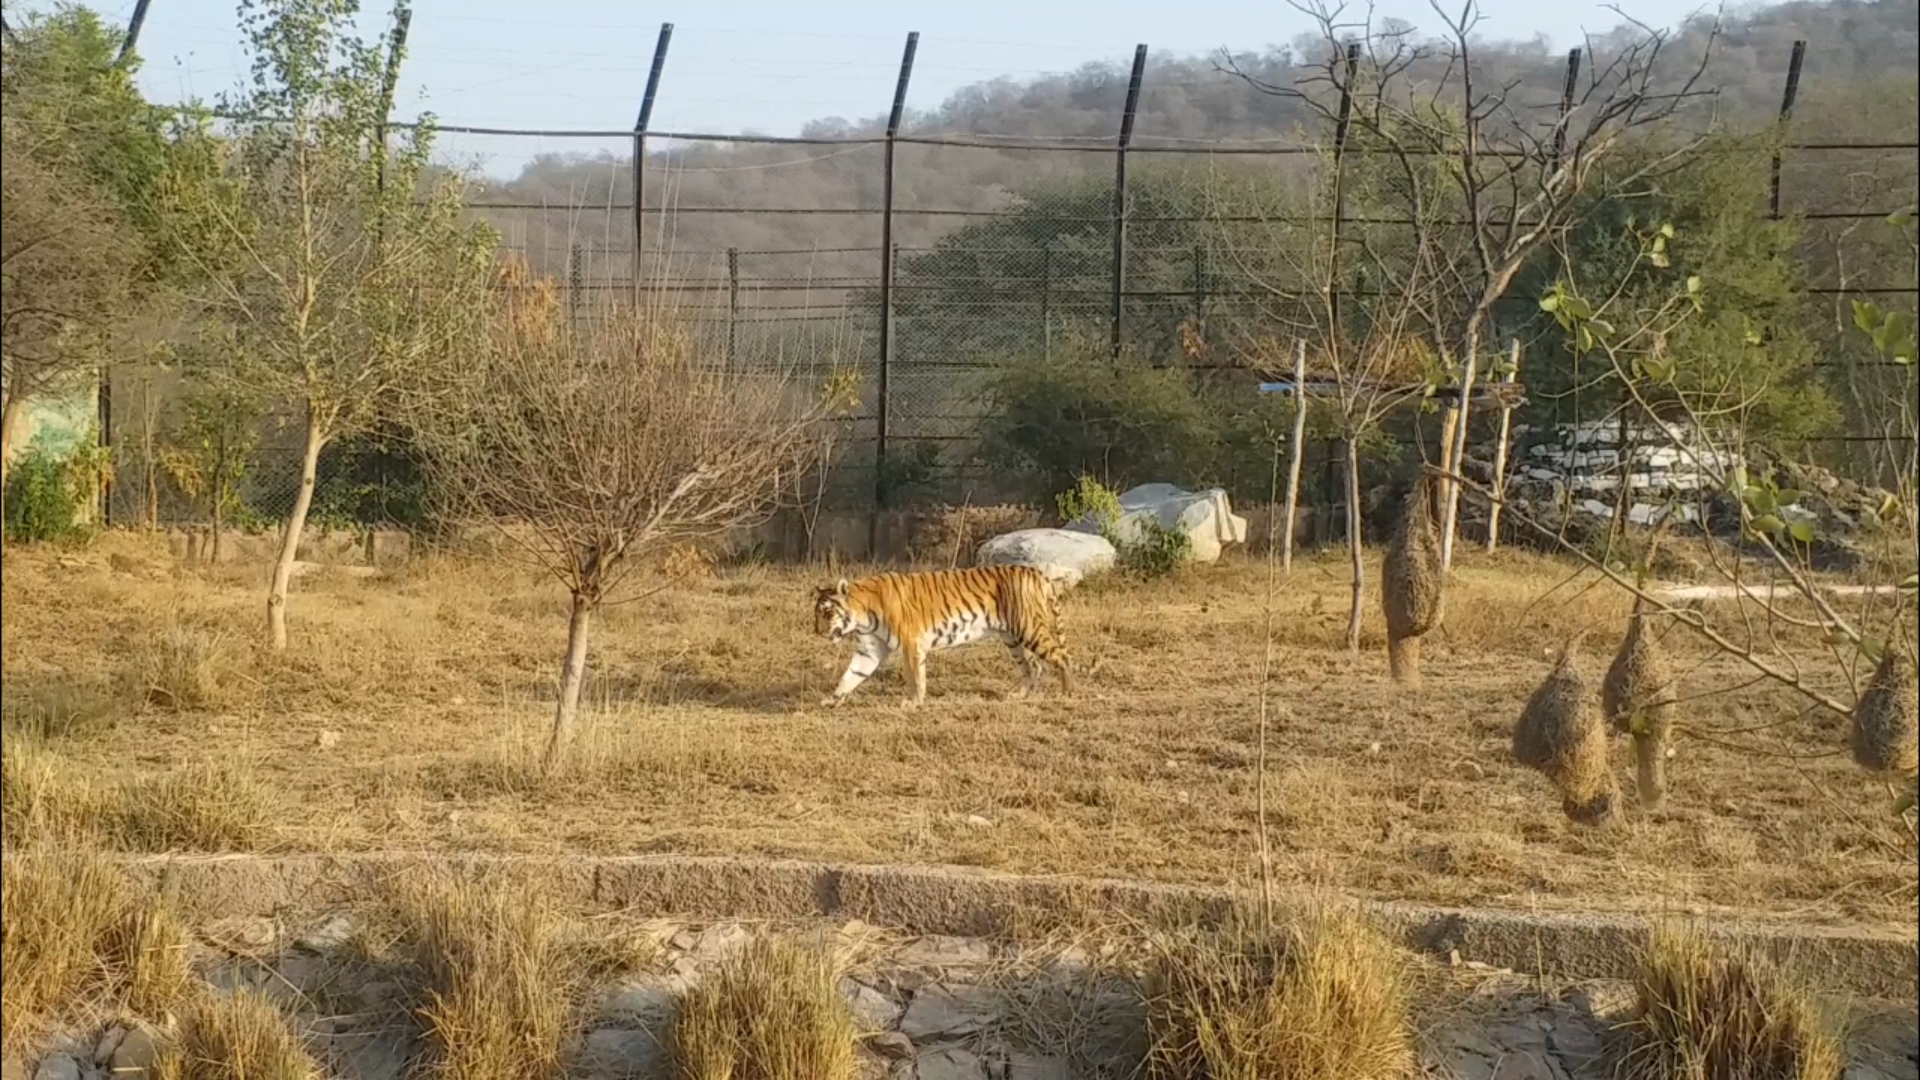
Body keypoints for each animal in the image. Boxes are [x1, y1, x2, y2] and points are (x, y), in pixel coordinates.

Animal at [814, 564, 1075, 707]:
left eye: (826, 612)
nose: (816, 631)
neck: (863, 617)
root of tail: (1038, 574)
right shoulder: (870, 650)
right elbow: (851, 675)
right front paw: (833, 699)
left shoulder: (911, 643)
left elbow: (915, 677)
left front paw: (913, 702)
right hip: (1013, 638)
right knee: (1033, 666)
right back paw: (1019, 695)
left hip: (1030, 628)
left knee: (1062, 657)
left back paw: (1067, 694)